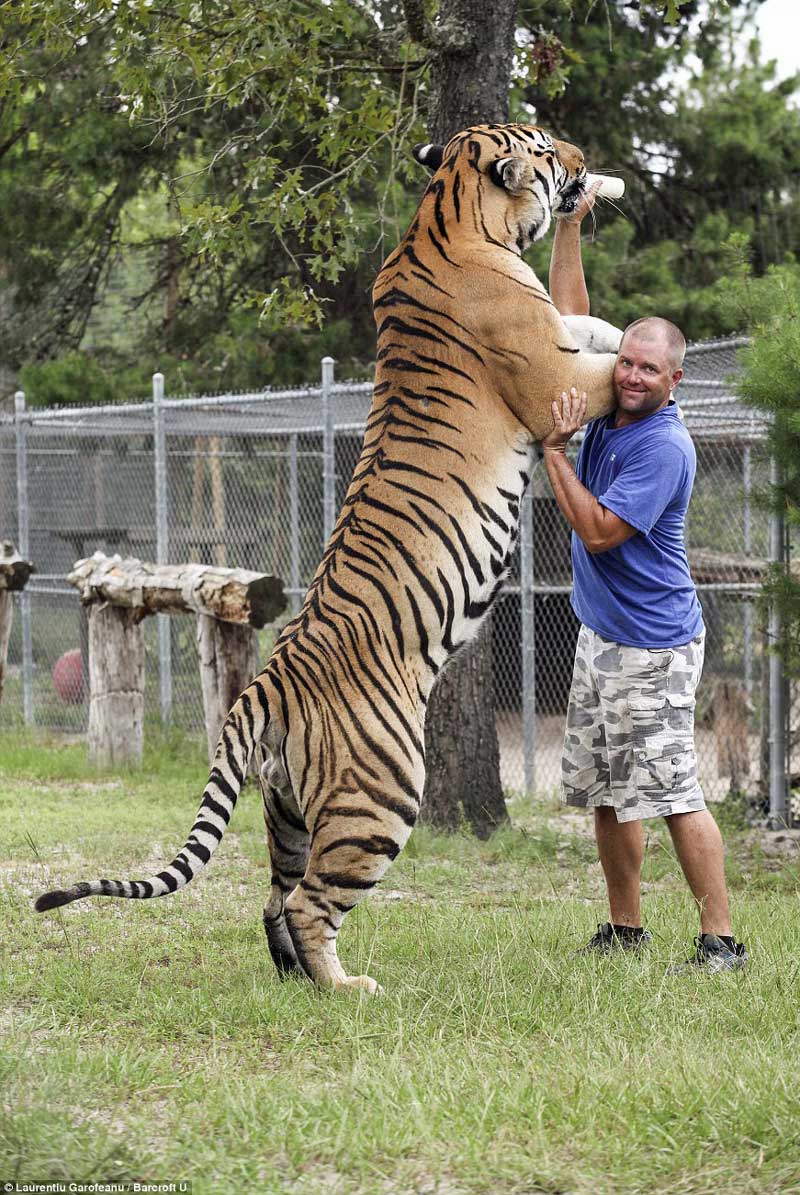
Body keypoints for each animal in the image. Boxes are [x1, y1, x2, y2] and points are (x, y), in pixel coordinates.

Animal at [34, 126, 621, 994]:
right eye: (547, 147)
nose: (584, 160)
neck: (448, 214)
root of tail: (264, 686)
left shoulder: (558, 335)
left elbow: (593, 325)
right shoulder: (552, 378)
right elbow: (604, 363)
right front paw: (661, 352)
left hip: (287, 811)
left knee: (274, 896)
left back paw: (297, 982)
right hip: (382, 795)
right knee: (312, 902)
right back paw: (347, 988)